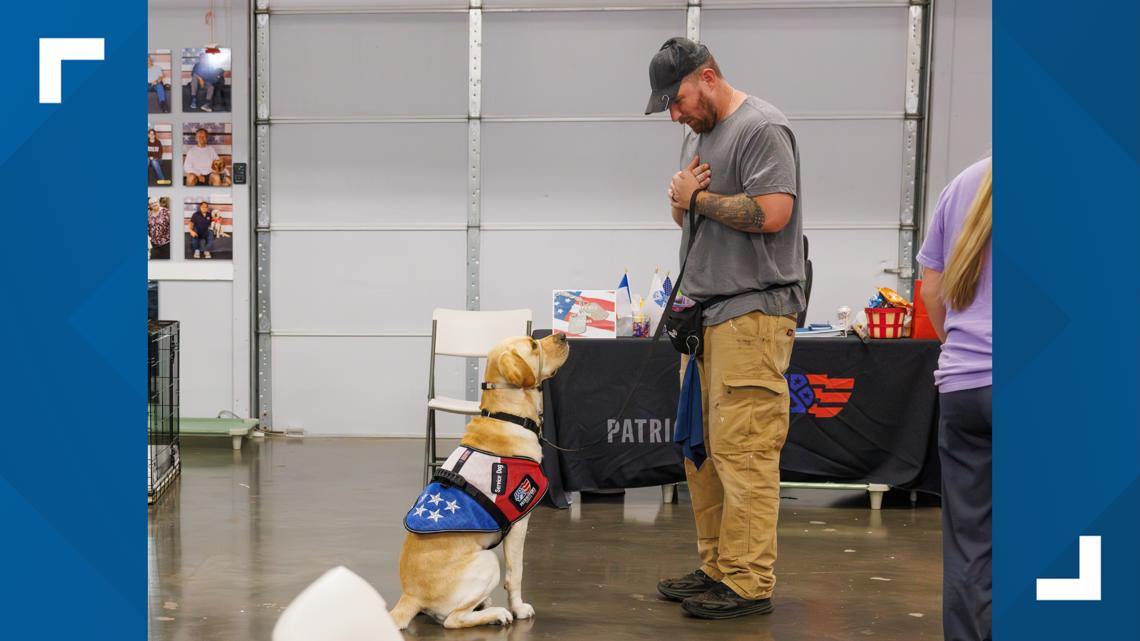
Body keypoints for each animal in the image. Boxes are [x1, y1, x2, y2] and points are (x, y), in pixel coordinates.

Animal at [392, 330, 570, 625]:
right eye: (533, 345)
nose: (564, 336)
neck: (508, 417)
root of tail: (410, 595)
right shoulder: (519, 524)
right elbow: (516, 574)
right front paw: (519, 608)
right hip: (488, 561)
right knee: (453, 619)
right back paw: (497, 613)